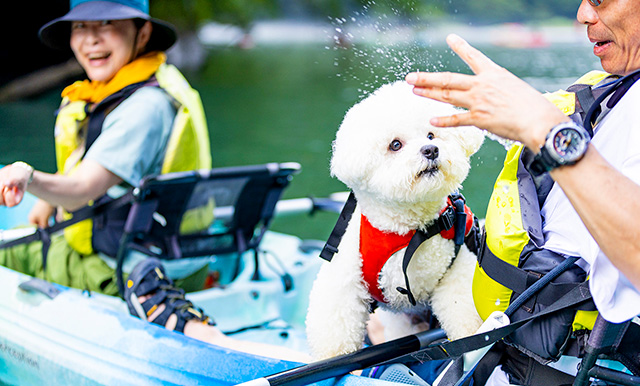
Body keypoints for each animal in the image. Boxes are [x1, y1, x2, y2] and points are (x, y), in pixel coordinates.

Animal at [308, 80, 482, 358]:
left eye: (431, 135)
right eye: (396, 145)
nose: (431, 150)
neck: (409, 230)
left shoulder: (456, 268)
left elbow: (464, 311)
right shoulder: (345, 275)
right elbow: (336, 322)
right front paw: (333, 357)